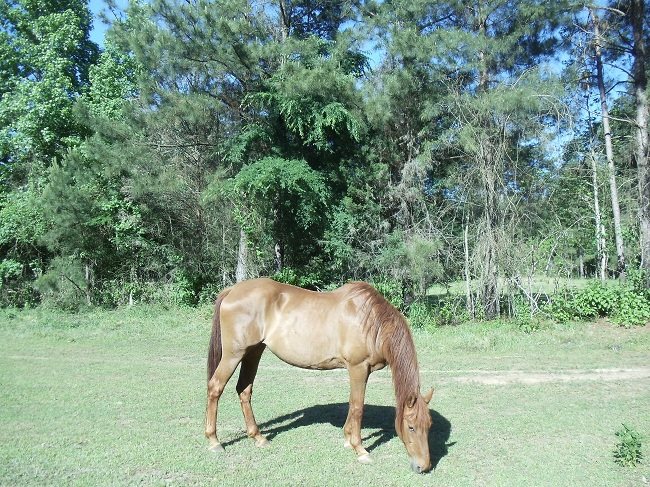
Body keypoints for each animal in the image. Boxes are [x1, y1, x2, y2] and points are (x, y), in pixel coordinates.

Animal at [204, 278, 434, 473]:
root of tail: (232, 290)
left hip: (253, 352)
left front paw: (347, 438)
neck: (372, 321)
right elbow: (358, 407)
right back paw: (214, 441)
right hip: (233, 355)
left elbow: (352, 404)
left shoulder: (361, 370)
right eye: (411, 427)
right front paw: (360, 449)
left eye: (428, 426)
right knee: (215, 387)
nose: (423, 466)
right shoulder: (358, 367)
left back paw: (258, 438)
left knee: (244, 390)